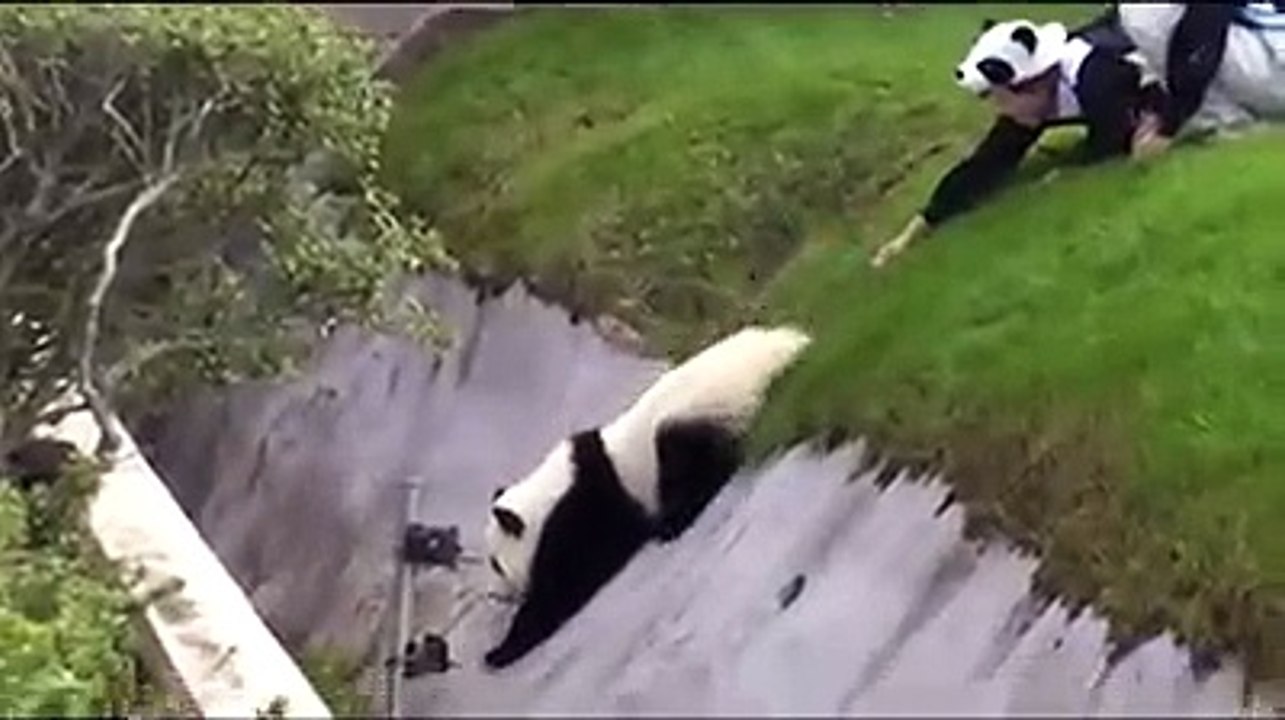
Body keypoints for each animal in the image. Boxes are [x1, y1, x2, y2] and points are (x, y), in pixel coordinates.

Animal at [481, 324, 812, 669]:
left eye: (496, 564)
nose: (494, 595)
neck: (547, 493)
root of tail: (797, 346)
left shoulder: (583, 511)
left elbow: (563, 587)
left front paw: (500, 651)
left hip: (701, 416)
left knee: (692, 463)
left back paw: (671, 524)